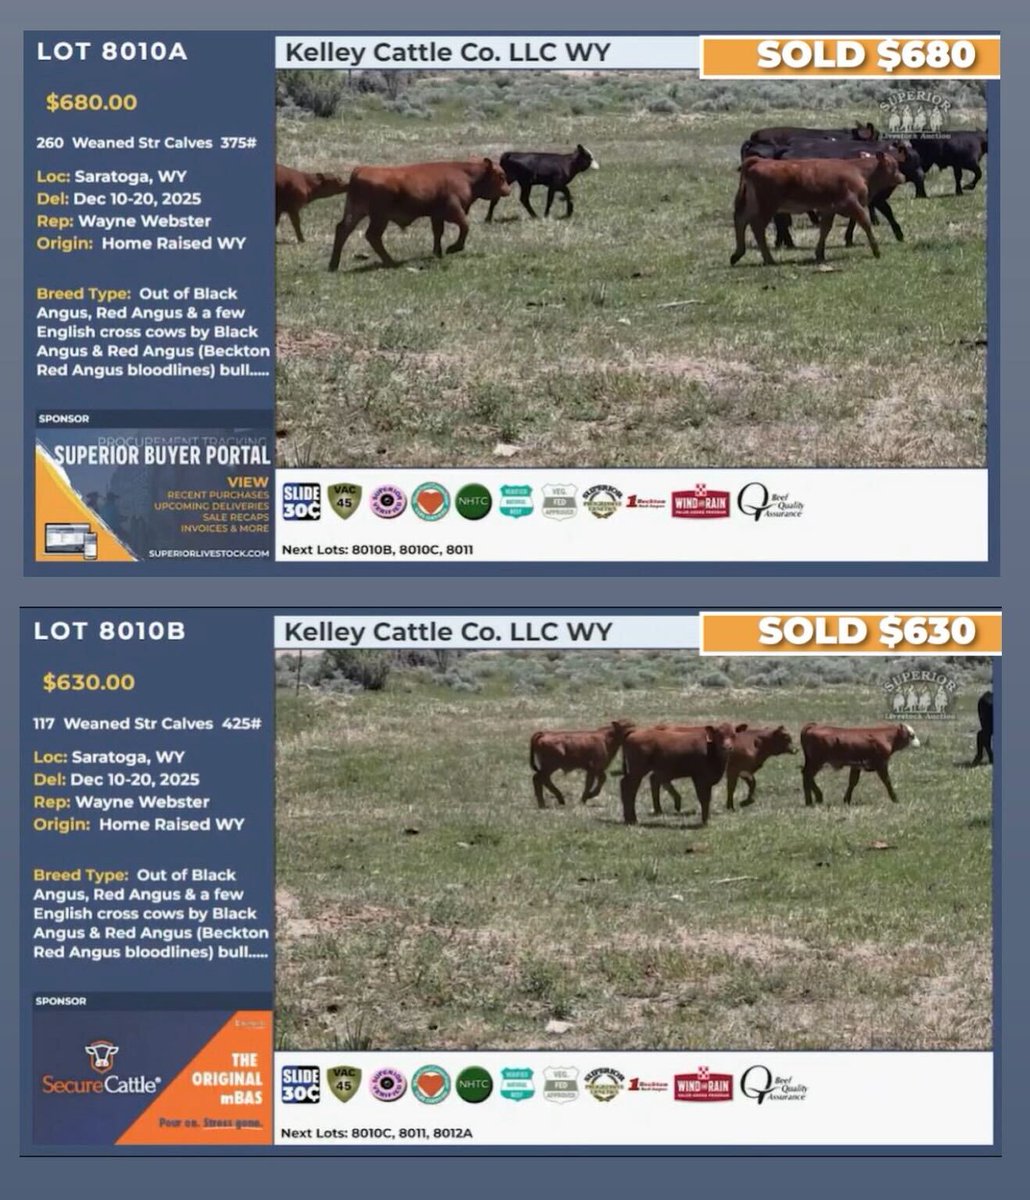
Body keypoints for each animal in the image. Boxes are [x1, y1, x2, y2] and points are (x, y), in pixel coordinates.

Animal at [327, 158, 511, 270]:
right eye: (501, 175)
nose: (508, 190)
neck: (466, 175)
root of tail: (361, 169)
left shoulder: (436, 216)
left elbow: (438, 232)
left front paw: (438, 252)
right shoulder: (454, 210)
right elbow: (465, 226)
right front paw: (453, 248)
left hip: (356, 213)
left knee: (342, 230)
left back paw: (333, 265)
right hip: (379, 218)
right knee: (372, 235)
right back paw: (391, 262)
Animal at [730, 152, 906, 266]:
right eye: (894, 165)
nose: (903, 177)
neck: (858, 171)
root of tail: (760, 161)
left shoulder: (828, 209)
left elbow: (825, 229)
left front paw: (819, 254)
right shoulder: (852, 204)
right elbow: (865, 223)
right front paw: (876, 251)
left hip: (754, 204)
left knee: (740, 220)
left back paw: (737, 254)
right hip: (767, 206)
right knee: (756, 227)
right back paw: (768, 259)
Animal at [771, 139, 924, 248]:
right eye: (911, 160)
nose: (921, 175)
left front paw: (849, 239)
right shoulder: (874, 199)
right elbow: (888, 212)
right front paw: (899, 234)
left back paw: (783, 242)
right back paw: (787, 242)